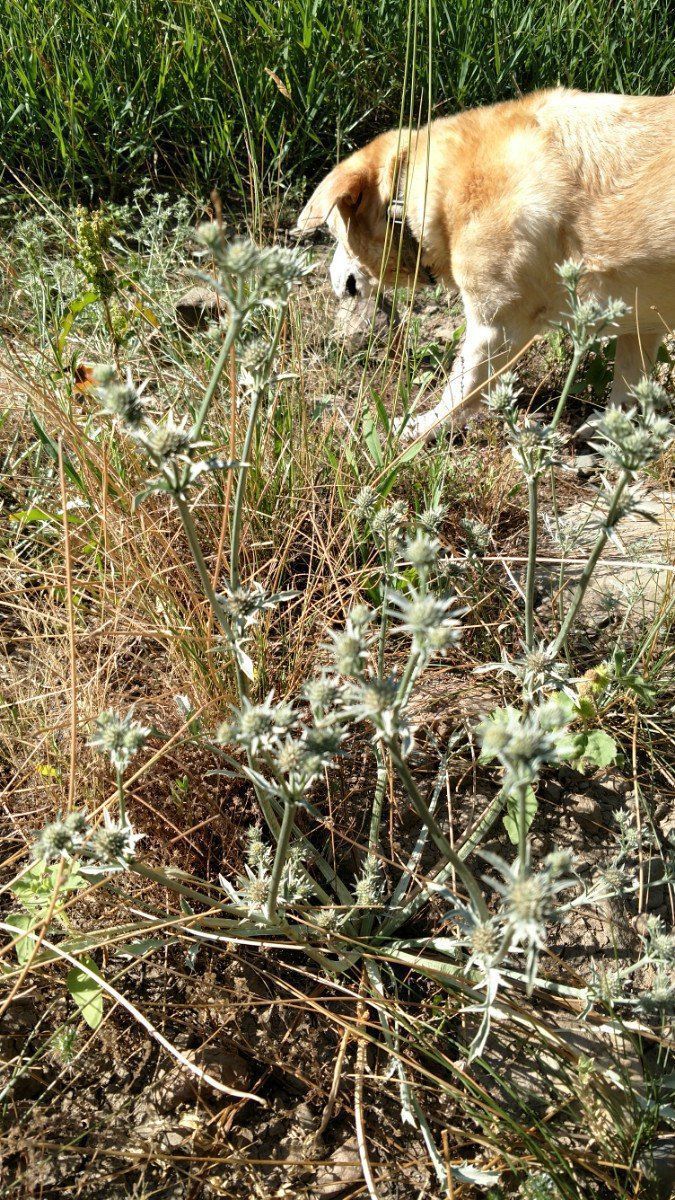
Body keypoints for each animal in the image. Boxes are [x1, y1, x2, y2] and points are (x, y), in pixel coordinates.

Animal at [294, 90, 672, 441]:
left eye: (333, 230)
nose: (330, 279)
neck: (417, 190)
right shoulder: (641, 326)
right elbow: (626, 387)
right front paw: (608, 429)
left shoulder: (496, 327)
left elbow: (458, 391)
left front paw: (419, 428)